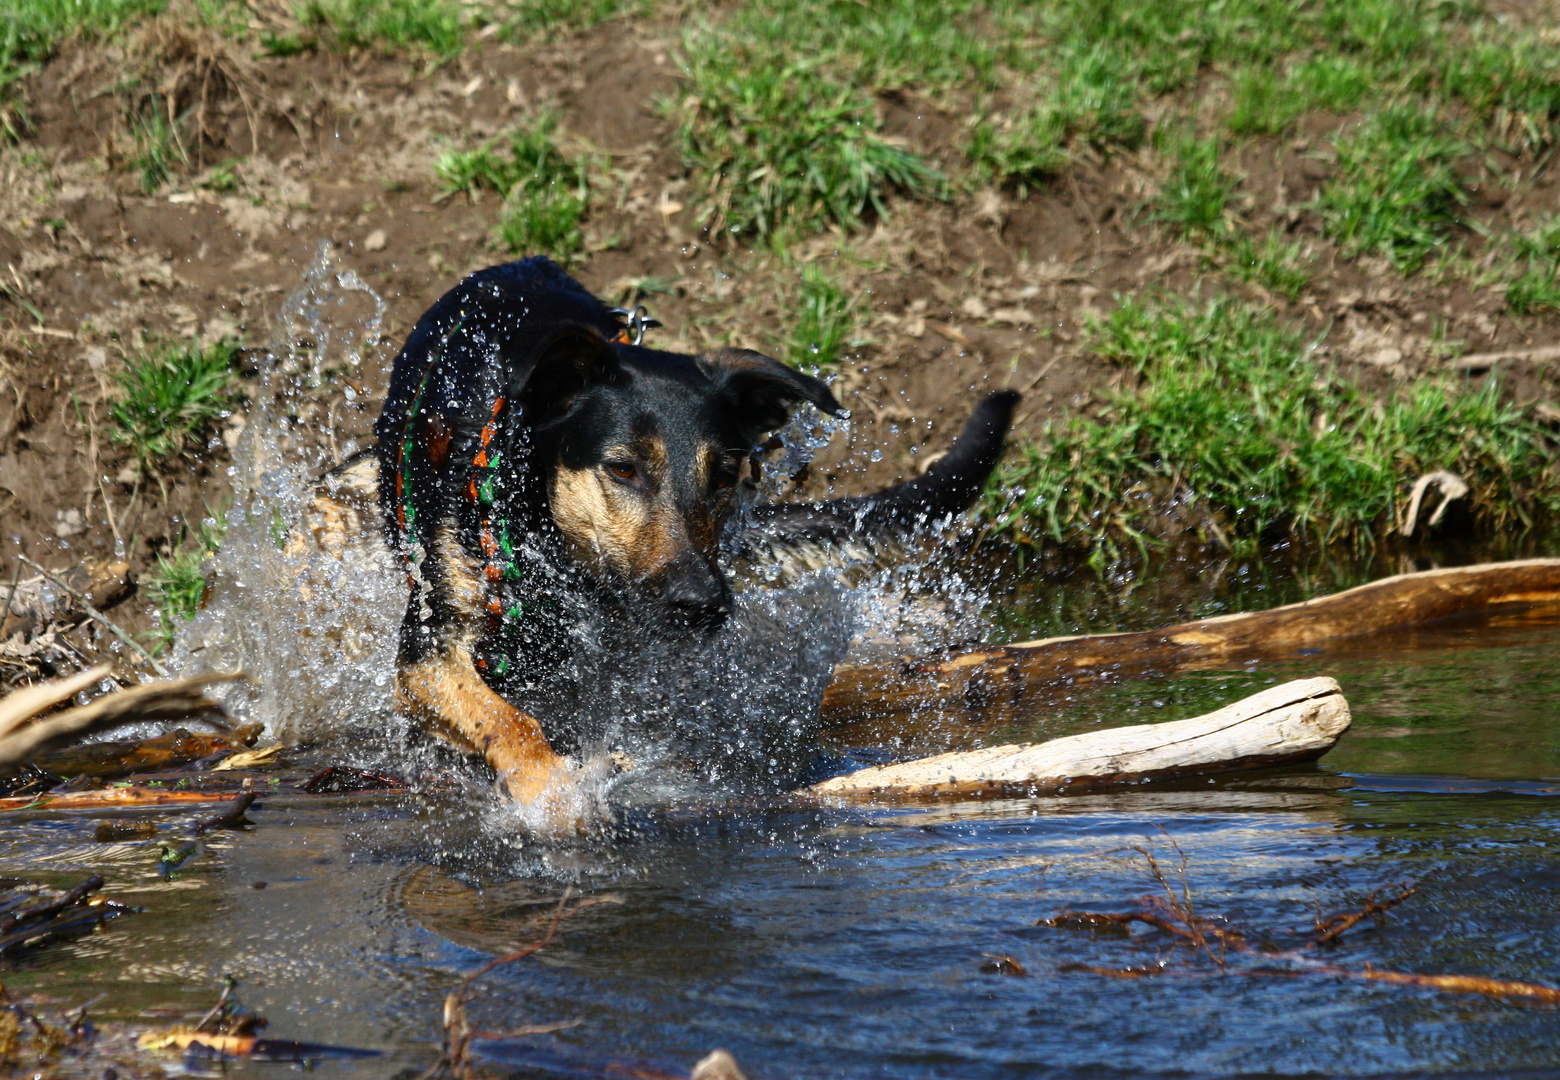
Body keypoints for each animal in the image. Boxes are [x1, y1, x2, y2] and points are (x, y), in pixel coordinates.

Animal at [371, 257, 1017, 805]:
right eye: (623, 468)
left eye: (725, 474)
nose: (702, 604)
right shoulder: (429, 653)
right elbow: (508, 722)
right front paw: (552, 791)